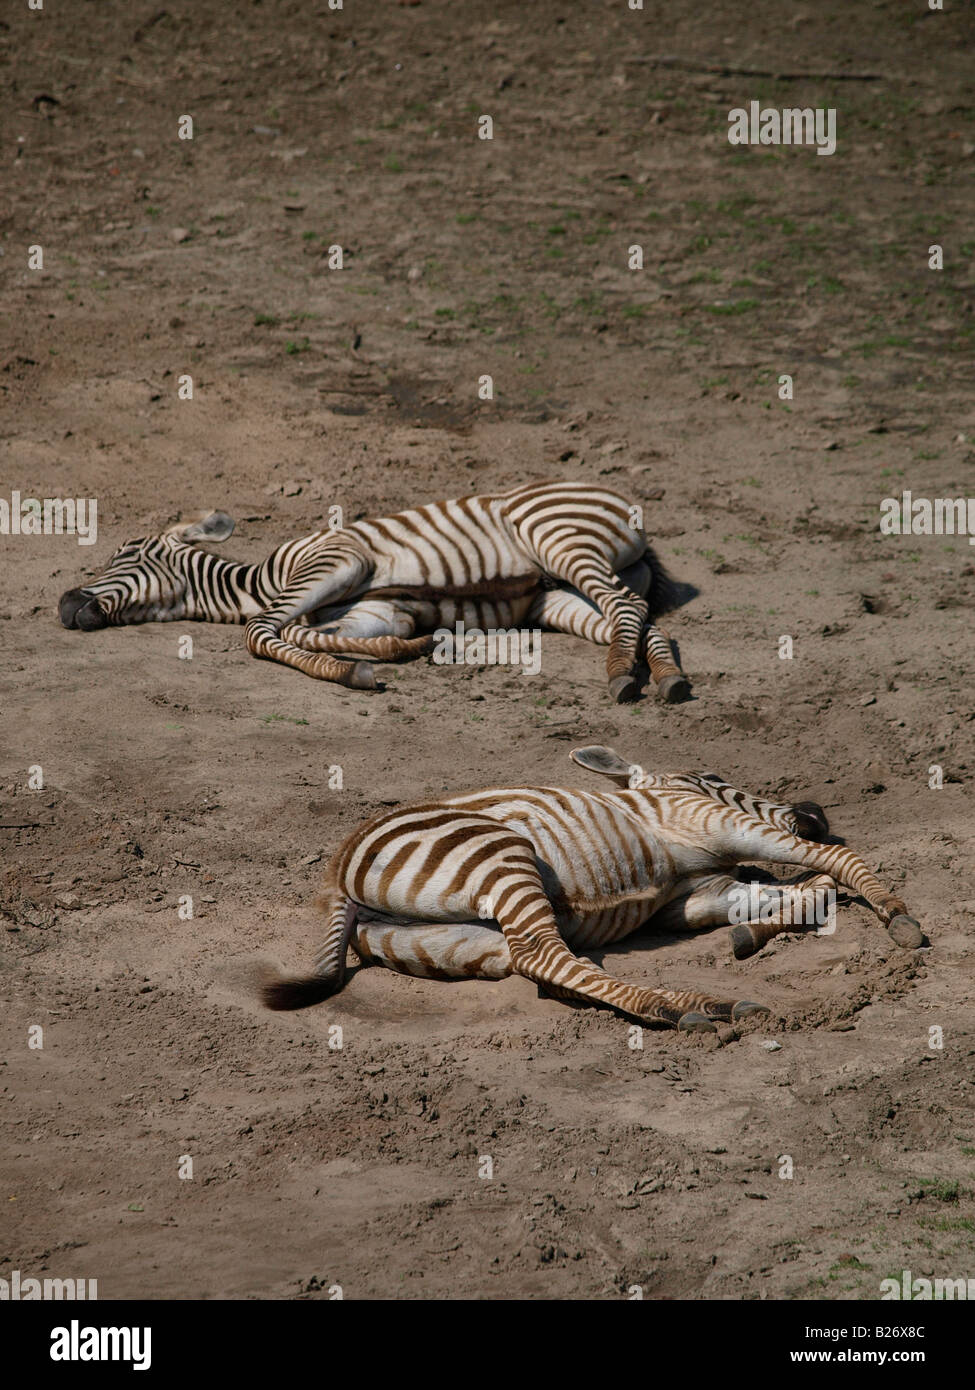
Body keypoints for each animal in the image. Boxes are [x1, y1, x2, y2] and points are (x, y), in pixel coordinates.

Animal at [55, 480, 692, 700]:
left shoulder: (337, 558)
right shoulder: (375, 611)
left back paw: (622, 676)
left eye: (125, 551)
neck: (260, 582)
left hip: (556, 535)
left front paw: (354, 669)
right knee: (637, 614)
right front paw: (402, 652)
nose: (63, 605)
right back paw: (663, 678)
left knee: (627, 605)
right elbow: (316, 635)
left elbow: (262, 632)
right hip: (555, 597)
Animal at [257, 750, 917, 1034]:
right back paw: (685, 1008)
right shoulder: (714, 822)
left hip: (439, 941)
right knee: (543, 955)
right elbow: (833, 862)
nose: (815, 813)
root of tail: (337, 871)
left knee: (546, 967)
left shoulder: (690, 898)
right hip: (501, 858)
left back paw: (694, 1006)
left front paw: (757, 928)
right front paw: (896, 914)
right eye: (714, 778)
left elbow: (795, 890)